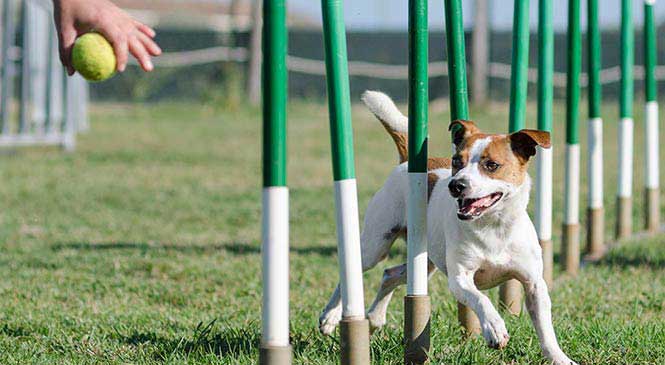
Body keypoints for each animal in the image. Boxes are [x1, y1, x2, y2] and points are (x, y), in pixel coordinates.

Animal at [318, 91, 576, 364]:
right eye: (456, 161)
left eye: (491, 165)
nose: (456, 185)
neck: (493, 227)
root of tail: (407, 161)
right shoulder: (460, 278)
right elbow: (481, 299)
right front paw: (494, 328)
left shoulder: (534, 283)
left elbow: (546, 329)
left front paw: (560, 358)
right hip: (376, 245)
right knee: (354, 271)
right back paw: (330, 317)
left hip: (424, 262)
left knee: (390, 274)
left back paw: (375, 318)